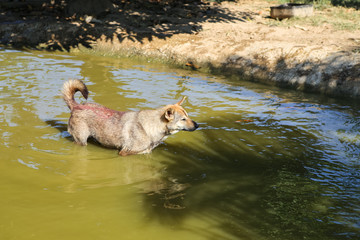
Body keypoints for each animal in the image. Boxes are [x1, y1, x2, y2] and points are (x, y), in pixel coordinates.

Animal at [61, 79, 197, 157]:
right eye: (183, 119)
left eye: (187, 116)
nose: (197, 125)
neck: (152, 127)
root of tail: (76, 106)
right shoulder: (124, 152)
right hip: (81, 141)